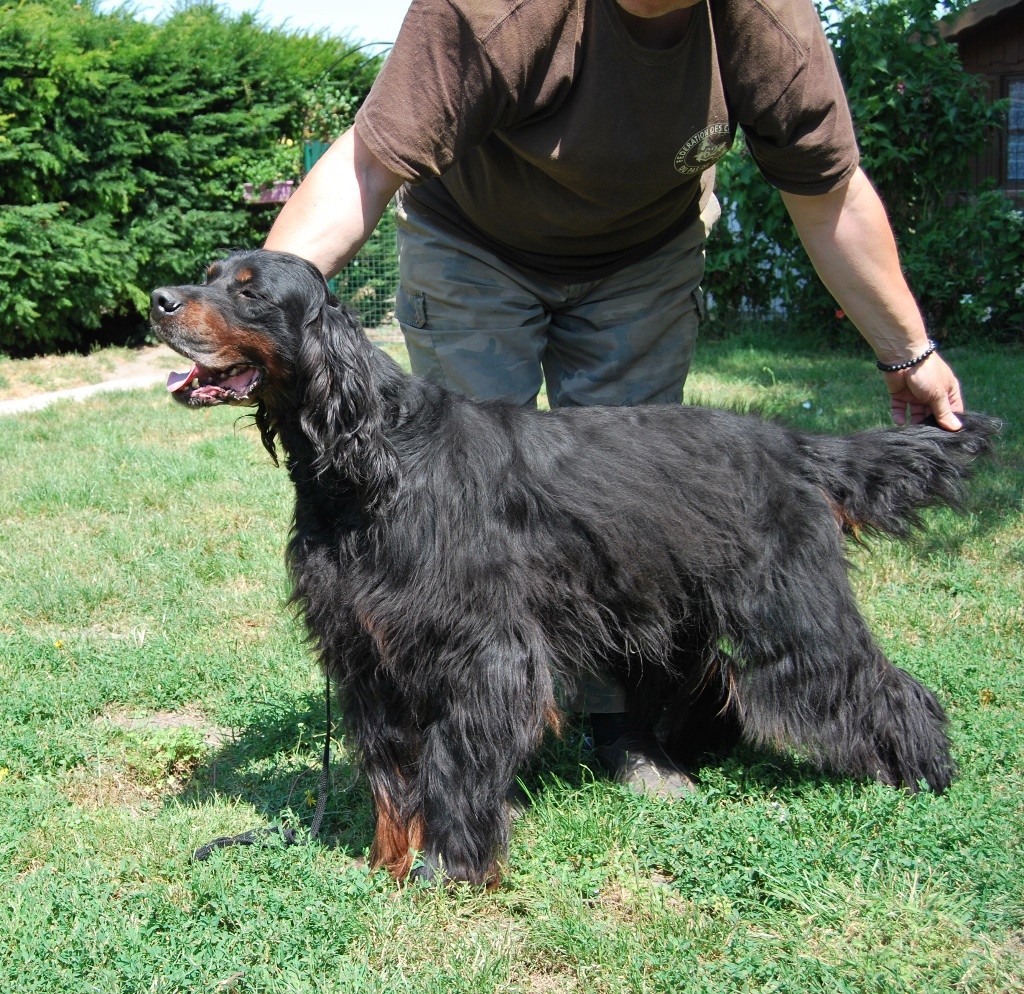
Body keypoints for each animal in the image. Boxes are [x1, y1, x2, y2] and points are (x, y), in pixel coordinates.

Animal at [151, 248, 999, 884]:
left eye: (249, 290)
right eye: (210, 272)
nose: (159, 300)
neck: (373, 458)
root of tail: (795, 445)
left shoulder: (481, 649)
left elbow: (454, 765)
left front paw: (451, 871)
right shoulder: (368, 656)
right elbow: (394, 775)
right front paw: (387, 868)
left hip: (792, 608)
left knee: (876, 683)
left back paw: (925, 774)